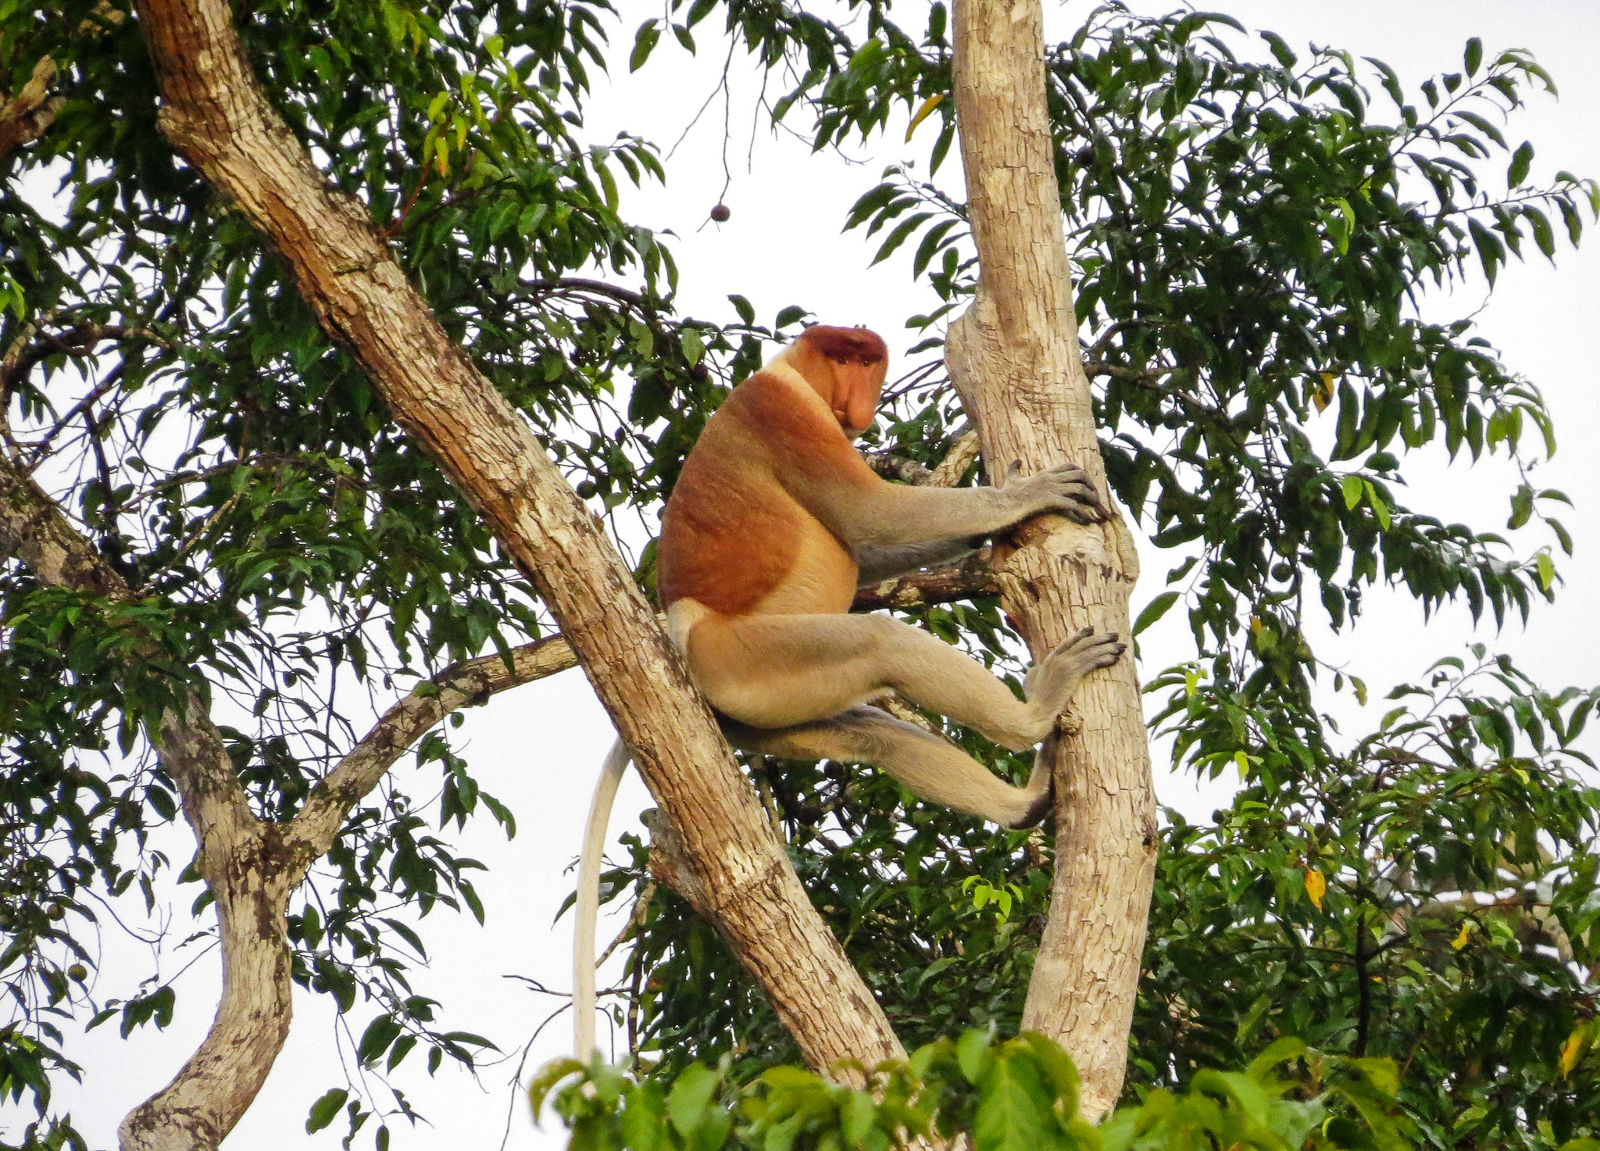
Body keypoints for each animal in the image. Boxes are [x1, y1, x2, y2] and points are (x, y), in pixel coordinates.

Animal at [572, 325, 1124, 1058]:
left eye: (869, 361)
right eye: (844, 358)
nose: (860, 394)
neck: (791, 373)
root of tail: (683, 642)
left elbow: (869, 548)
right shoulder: (785, 417)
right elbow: (870, 514)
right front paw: (1029, 497)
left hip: (761, 710)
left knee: (874, 734)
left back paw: (1025, 802)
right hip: (752, 659)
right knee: (882, 641)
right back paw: (1035, 712)